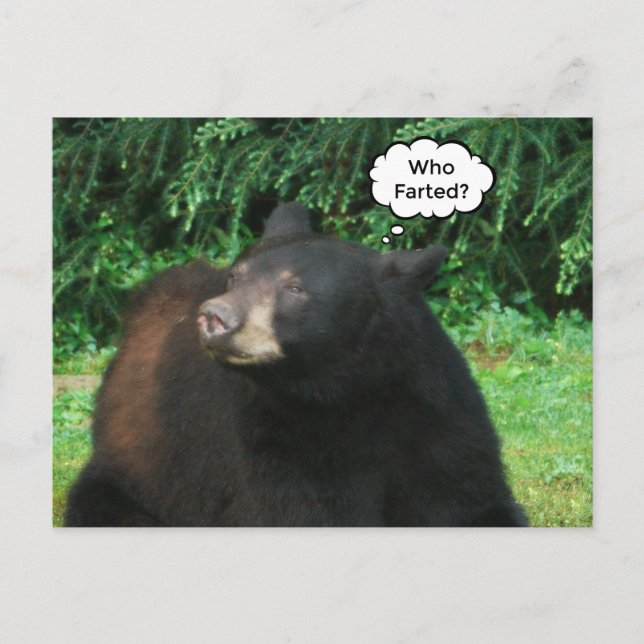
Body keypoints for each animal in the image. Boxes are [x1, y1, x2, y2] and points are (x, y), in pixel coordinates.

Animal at [64, 202, 527, 527]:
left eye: (294, 288)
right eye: (236, 276)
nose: (215, 317)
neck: (350, 390)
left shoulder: (436, 414)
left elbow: (469, 499)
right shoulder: (281, 435)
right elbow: (308, 510)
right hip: (138, 463)